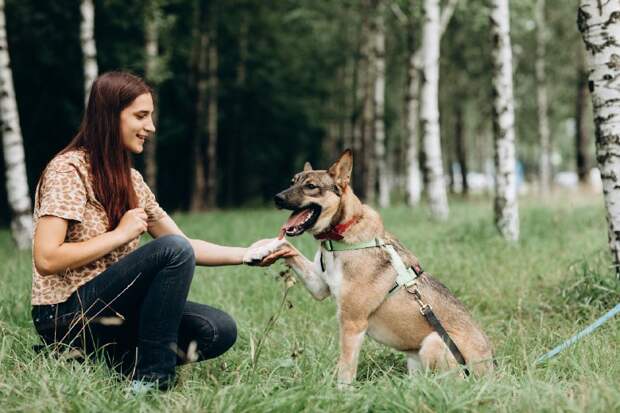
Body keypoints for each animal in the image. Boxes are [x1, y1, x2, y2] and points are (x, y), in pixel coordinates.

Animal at [272, 150, 494, 384]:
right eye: (292, 182)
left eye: (311, 186)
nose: (277, 198)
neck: (343, 233)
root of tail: (491, 374)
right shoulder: (319, 287)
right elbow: (290, 249)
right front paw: (269, 248)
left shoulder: (352, 323)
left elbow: (345, 370)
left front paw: (340, 391)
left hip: (434, 342)